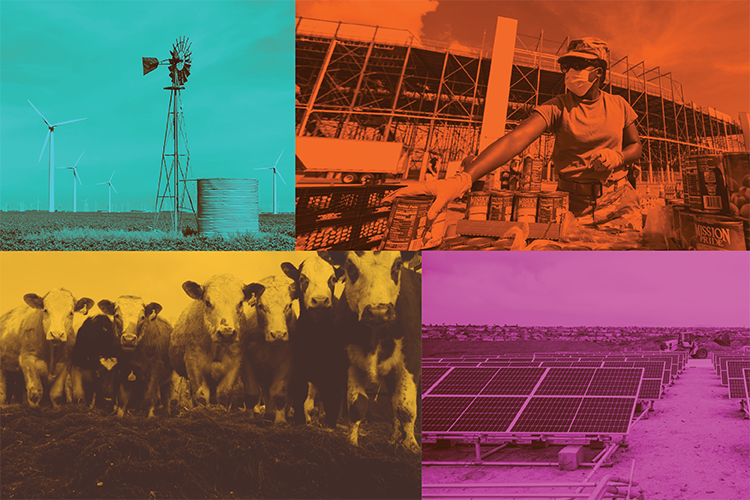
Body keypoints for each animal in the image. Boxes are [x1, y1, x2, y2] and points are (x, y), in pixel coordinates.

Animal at [172, 276, 266, 408]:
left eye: (240, 303)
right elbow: (201, 395)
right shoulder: (193, 363)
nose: (226, 333)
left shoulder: (235, 363)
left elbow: (223, 393)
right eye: (208, 302)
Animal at [242, 274, 298, 426]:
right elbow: (252, 392)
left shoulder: (287, 362)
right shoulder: (247, 360)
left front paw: (280, 421)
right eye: (261, 306)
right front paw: (249, 417)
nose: (278, 334)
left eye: (289, 305)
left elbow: (279, 393)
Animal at [282, 256, 350, 428]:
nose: (320, 300)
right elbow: (300, 394)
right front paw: (299, 421)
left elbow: (333, 397)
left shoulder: (336, 371)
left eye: (332, 279)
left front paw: (330, 424)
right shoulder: (299, 368)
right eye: (302, 278)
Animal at [318, 252, 424, 452]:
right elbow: (357, 406)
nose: (377, 312)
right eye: (350, 267)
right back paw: (394, 438)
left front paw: (411, 445)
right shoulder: (350, 360)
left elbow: (405, 407)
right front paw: (352, 443)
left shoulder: (410, 359)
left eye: (397, 265)